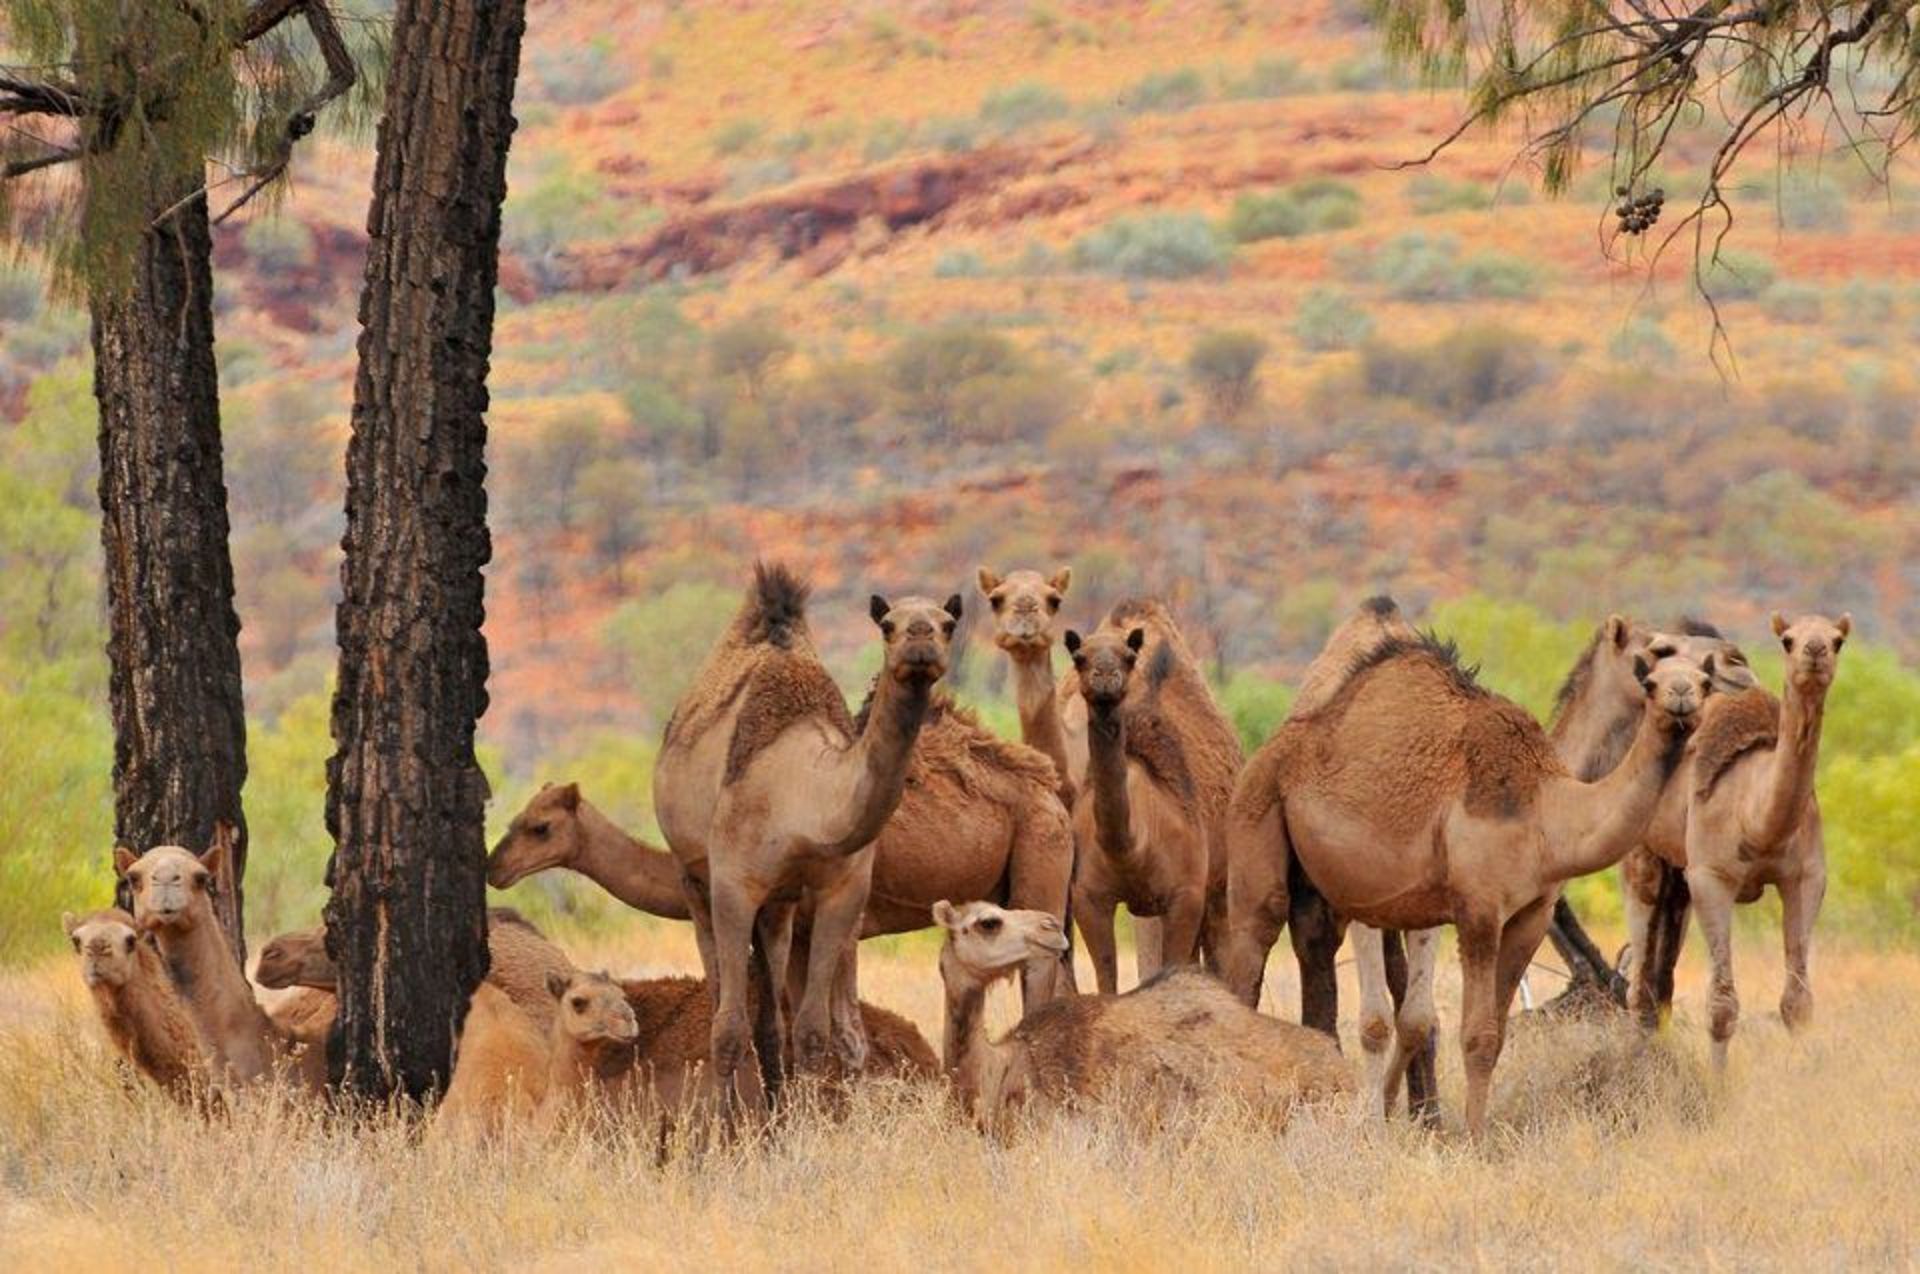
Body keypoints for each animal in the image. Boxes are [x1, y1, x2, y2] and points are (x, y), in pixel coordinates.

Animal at [652, 563, 956, 1101]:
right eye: (888, 625)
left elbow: (813, 1029)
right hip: (692, 876)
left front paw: (805, 1116)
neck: (805, 800)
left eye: (948, 624)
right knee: (720, 996)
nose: (920, 642)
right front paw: (726, 1122)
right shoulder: (733, 884)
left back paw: (775, 1103)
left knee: (773, 1013)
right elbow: (728, 1027)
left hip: (780, 905)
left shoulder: (842, 891)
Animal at [1224, 634, 1711, 1136]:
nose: (1680, 696)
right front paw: (1472, 1139)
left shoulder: (1532, 915)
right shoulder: (1478, 910)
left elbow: (1494, 1034)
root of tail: (1271, 748)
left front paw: (1469, 1132)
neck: (1547, 810)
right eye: (1650, 681)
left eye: (1705, 681)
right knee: (1252, 941)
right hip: (1256, 814)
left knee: (1315, 946)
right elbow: (1476, 1034)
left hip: (1321, 888)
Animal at [1639, 613, 1850, 1069]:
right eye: (1787, 640)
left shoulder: (1806, 877)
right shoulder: (1711, 877)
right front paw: (1717, 1086)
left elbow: (1797, 1001)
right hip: (1643, 856)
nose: (1815, 651)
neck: (1757, 820)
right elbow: (1722, 1005)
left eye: (1838, 640)